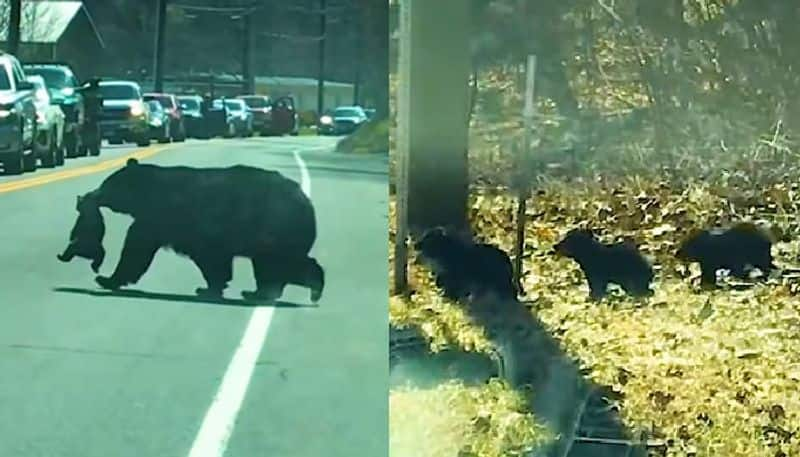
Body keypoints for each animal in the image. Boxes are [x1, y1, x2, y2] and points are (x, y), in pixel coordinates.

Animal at [77, 158, 322, 302]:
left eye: (106, 184)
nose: (90, 195)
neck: (149, 194)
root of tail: (307, 202)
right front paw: (213, 287)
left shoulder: (168, 218)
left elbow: (137, 250)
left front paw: (106, 279)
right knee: (276, 266)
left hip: (275, 229)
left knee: (278, 264)